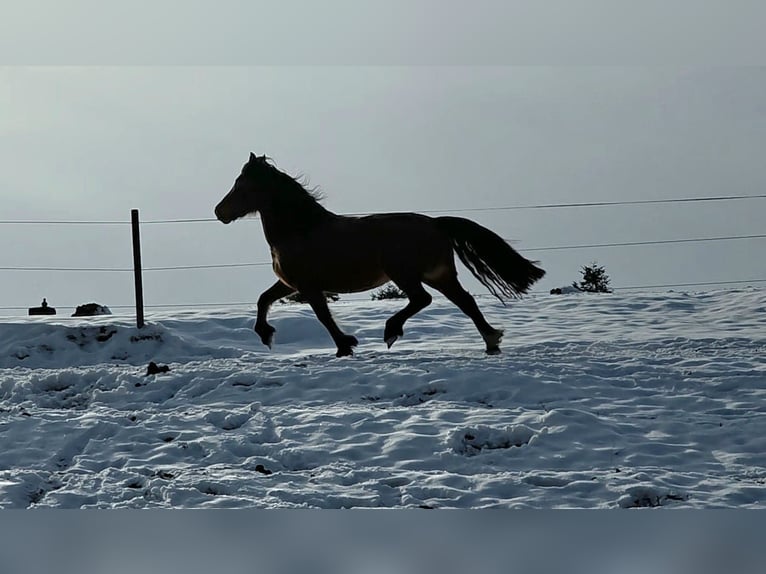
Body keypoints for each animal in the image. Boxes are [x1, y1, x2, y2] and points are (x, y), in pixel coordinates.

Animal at [215, 153, 545, 357]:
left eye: (241, 185)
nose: (219, 212)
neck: (300, 230)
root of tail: (436, 223)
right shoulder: (290, 284)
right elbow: (263, 299)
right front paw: (266, 335)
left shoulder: (308, 286)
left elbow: (323, 316)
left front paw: (345, 345)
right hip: (439, 275)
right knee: (465, 302)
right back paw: (491, 340)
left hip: (405, 274)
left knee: (422, 299)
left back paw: (391, 331)